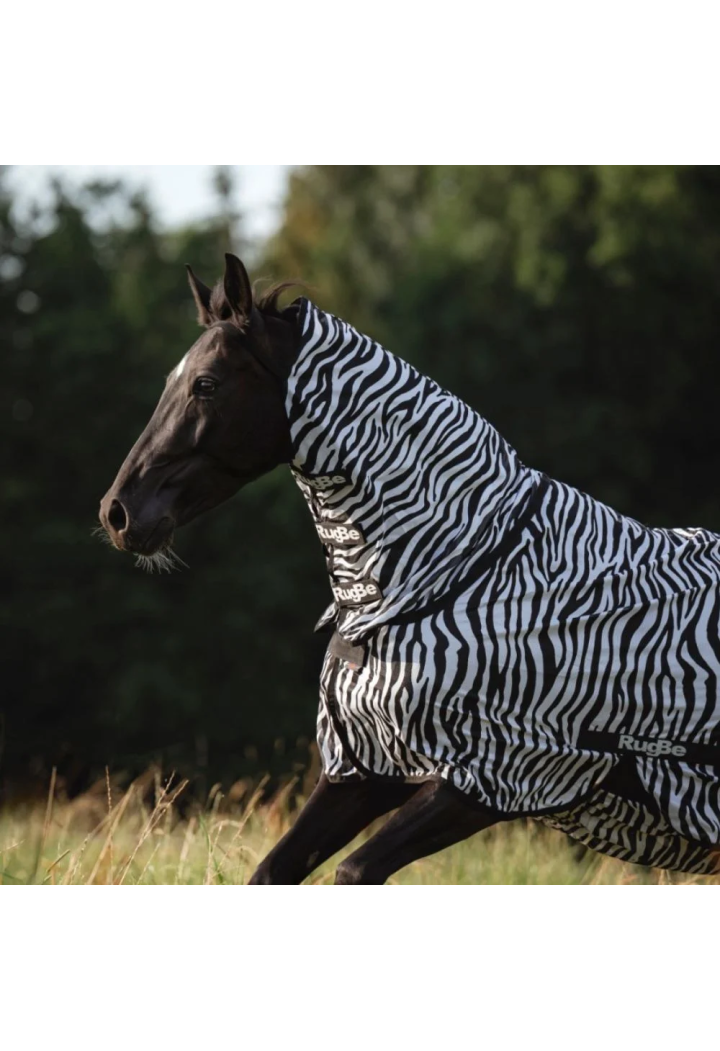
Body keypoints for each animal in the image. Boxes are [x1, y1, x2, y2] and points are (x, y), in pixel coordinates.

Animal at [100, 253, 720, 883]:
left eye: (205, 385)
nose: (118, 513)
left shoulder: (499, 776)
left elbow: (353, 871)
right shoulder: (366, 769)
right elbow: (273, 871)